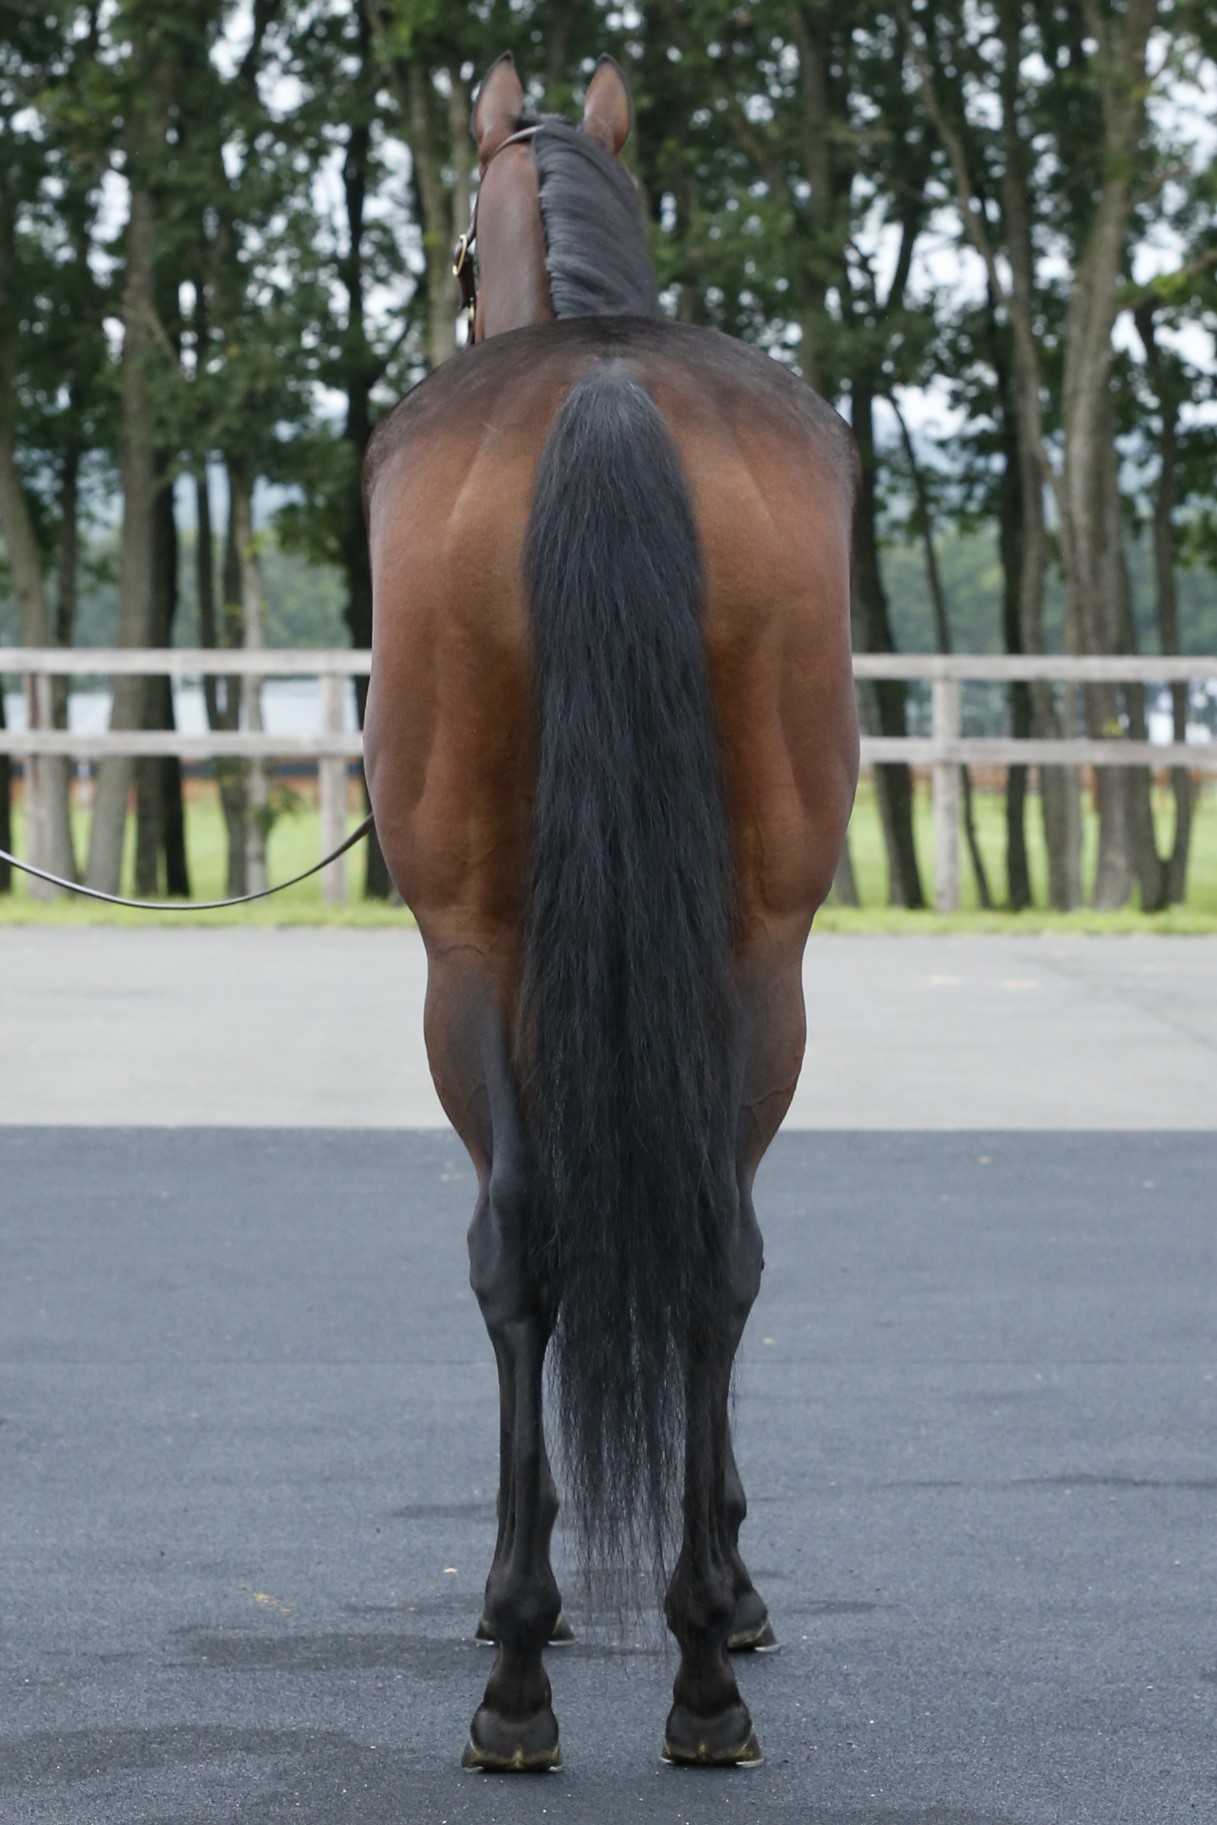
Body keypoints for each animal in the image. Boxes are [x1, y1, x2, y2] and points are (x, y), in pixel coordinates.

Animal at [362, 51, 859, 1771]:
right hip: (754, 961)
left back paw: (535, 1665)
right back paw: (688, 1663)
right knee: (703, 1245)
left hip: (472, 961)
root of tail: (604, 389)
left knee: (525, 1244)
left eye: (457, 253)